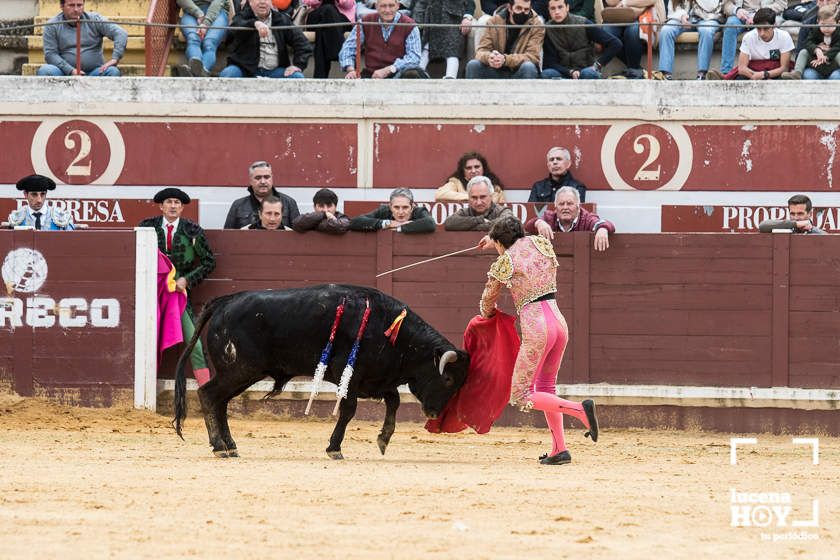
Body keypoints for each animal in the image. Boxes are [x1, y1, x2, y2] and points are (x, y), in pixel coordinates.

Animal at [173, 284, 470, 460]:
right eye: (447, 378)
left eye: (459, 384)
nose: (434, 413)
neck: (394, 332)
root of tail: (226, 301)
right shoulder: (349, 375)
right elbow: (349, 410)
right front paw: (334, 448)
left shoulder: (376, 379)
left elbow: (394, 402)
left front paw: (383, 439)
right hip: (240, 369)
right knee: (208, 395)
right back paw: (219, 447)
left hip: (242, 373)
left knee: (220, 402)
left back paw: (230, 445)